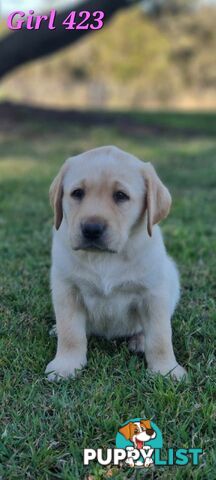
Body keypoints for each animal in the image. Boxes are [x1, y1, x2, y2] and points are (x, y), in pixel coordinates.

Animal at [46, 144, 187, 380]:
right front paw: (66, 365)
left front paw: (166, 370)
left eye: (121, 196)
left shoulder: (154, 293)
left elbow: (160, 336)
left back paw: (140, 340)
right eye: (77, 193)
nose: (92, 229)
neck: (104, 257)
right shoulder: (67, 289)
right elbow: (70, 332)